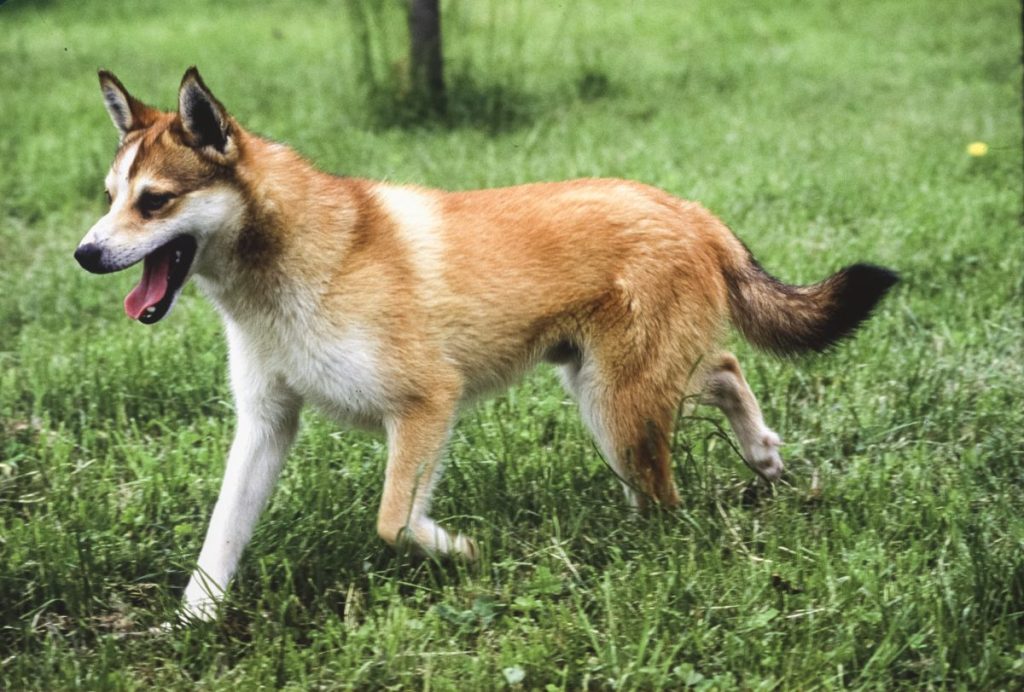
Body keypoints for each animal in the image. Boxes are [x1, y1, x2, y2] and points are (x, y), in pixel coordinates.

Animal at [75, 69, 901, 622]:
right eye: (110, 197)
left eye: (156, 201)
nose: (85, 253)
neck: (300, 261)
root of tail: (691, 210)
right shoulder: (265, 425)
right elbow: (219, 540)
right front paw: (194, 622)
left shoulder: (425, 405)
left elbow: (395, 523)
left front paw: (461, 550)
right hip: (607, 386)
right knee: (725, 368)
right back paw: (759, 452)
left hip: (618, 405)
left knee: (670, 490)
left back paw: (654, 537)